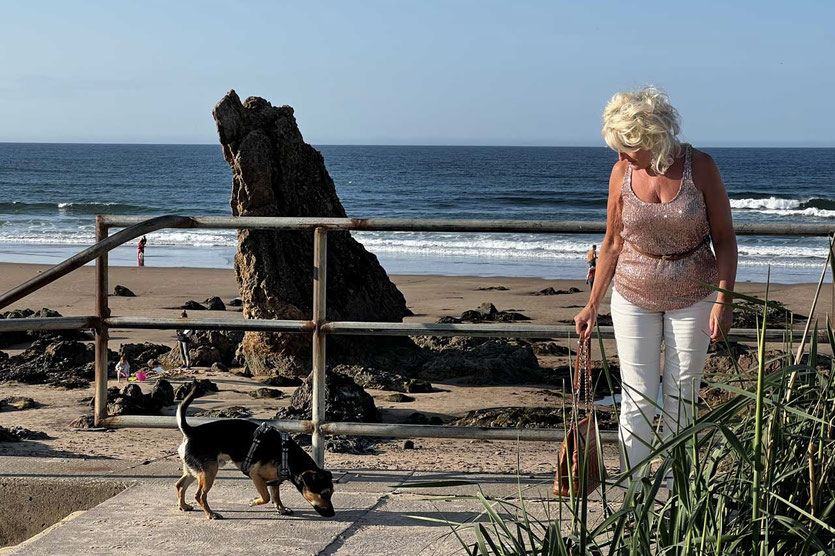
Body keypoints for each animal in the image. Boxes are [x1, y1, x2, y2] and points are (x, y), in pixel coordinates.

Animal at [176, 384, 336, 520]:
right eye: (324, 494)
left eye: (332, 493)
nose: (333, 514)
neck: (288, 457)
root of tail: (191, 432)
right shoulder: (255, 475)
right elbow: (266, 497)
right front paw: (254, 501)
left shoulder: (275, 479)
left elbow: (276, 495)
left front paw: (281, 508)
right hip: (209, 472)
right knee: (199, 495)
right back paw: (211, 513)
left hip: (195, 471)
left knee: (180, 485)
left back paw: (183, 505)